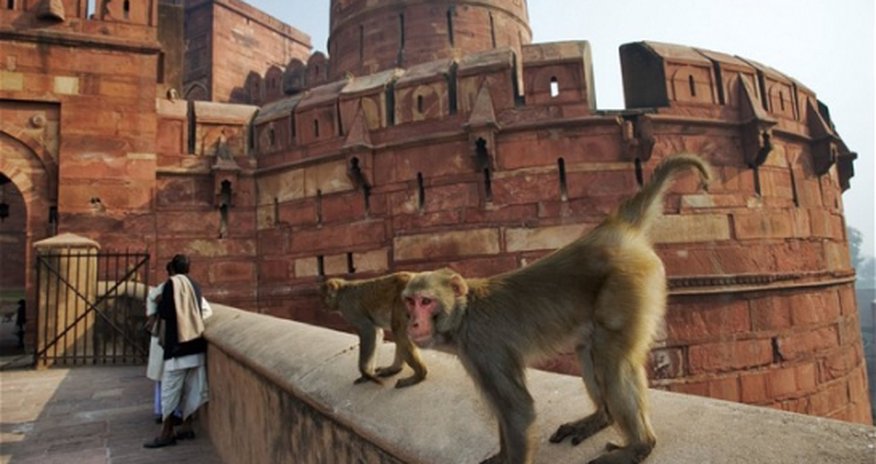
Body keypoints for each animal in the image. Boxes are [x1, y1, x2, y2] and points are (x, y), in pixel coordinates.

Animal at [402, 154, 711, 464]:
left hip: (627, 283)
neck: (464, 316)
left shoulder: (483, 347)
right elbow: (504, 410)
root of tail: (615, 229)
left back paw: (640, 445)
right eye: (409, 301)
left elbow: (518, 410)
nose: (412, 323)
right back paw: (601, 418)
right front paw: (501, 454)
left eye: (426, 301)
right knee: (588, 351)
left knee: (611, 360)